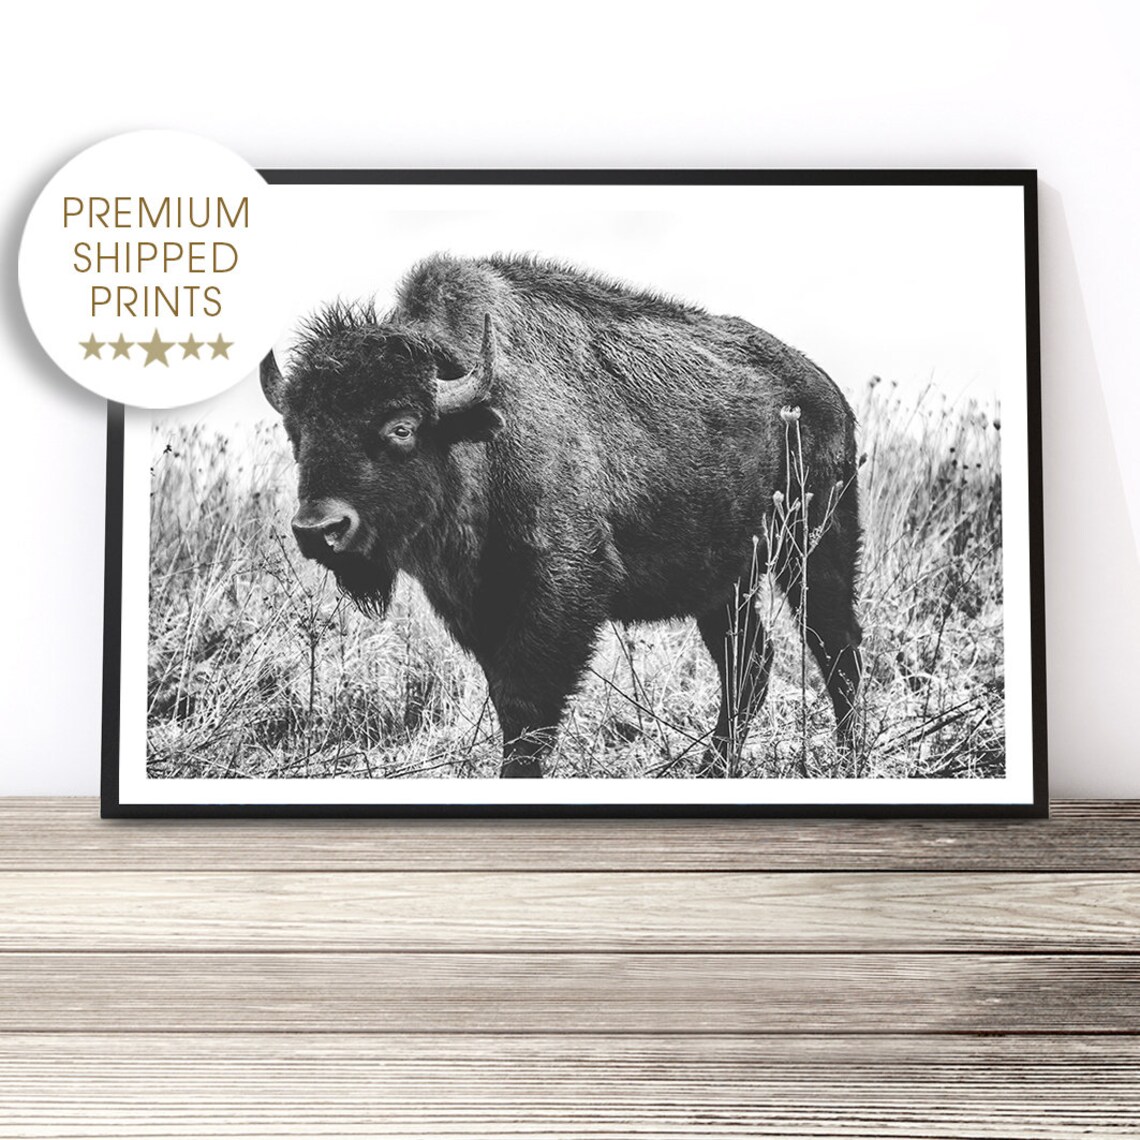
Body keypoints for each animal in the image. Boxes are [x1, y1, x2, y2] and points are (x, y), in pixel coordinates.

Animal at [260, 254, 862, 777]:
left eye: (402, 427)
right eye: (297, 432)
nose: (319, 530)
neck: (481, 430)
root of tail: (826, 391)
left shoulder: (557, 597)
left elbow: (527, 713)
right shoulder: (480, 610)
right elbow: (508, 702)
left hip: (814, 549)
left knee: (836, 646)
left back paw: (848, 757)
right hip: (724, 585)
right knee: (750, 664)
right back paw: (714, 769)